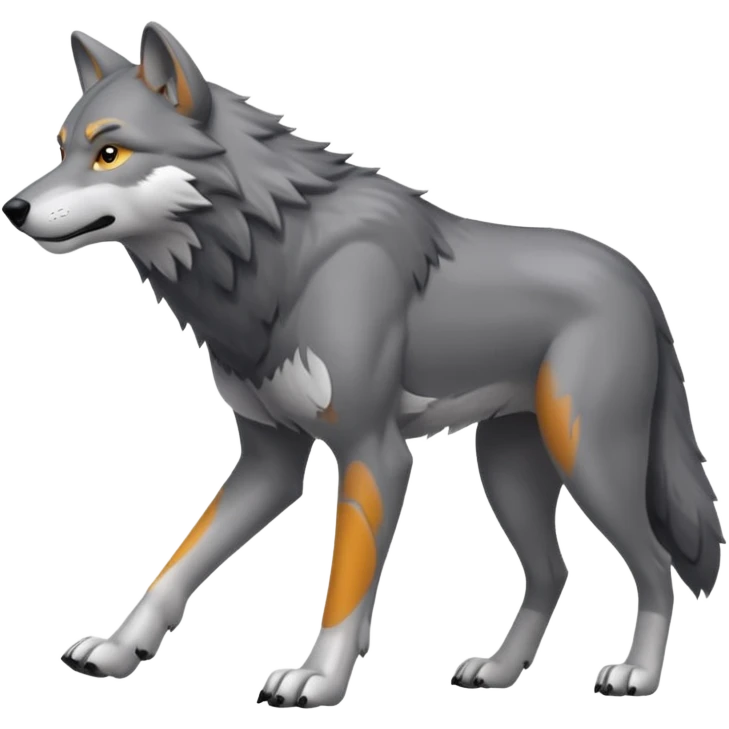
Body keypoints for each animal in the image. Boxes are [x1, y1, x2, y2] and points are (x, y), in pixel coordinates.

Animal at [3, 21, 724, 707]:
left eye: (110, 153)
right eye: (61, 149)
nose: (13, 208)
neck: (272, 266)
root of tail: (638, 280)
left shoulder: (373, 453)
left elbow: (344, 587)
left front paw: (316, 680)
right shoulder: (268, 462)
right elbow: (178, 560)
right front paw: (119, 646)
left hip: (588, 461)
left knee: (655, 566)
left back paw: (636, 674)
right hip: (506, 471)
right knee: (553, 573)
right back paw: (497, 670)